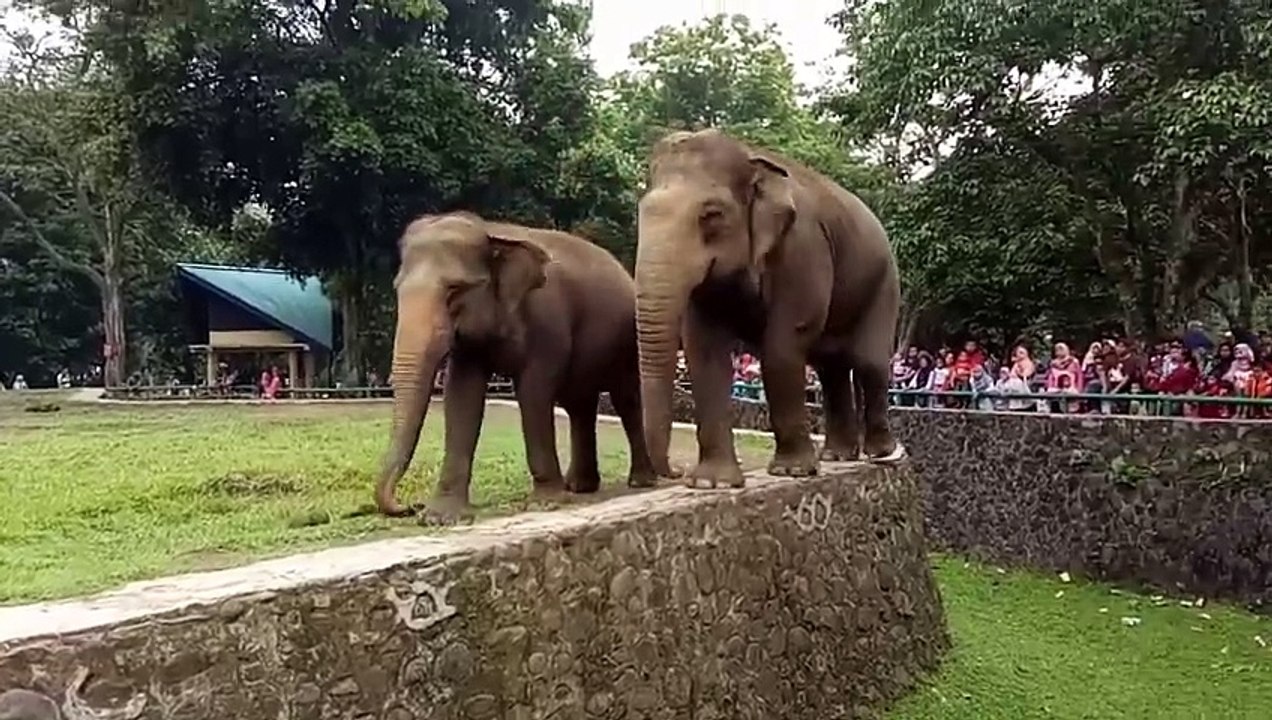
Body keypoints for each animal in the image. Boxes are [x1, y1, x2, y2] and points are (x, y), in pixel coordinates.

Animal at [374, 211, 659, 521]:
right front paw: (440, 516)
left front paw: (545, 503)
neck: (491, 231)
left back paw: (640, 481)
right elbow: (462, 396)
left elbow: (533, 390)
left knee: (625, 399)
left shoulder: (548, 321)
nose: (409, 506)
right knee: (579, 405)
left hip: (627, 341)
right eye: (398, 289)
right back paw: (579, 486)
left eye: (454, 290)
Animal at [634, 128, 906, 489]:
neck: (750, 156)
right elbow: (704, 352)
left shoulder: (803, 247)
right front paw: (713, 483)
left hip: (884, 281)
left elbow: (784, 342)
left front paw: (792, 472)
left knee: (868, 361)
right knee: (830, 367)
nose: (675, 472)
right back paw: (837, 457)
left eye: (712, 214)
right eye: (642, 212)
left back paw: (881, 454)